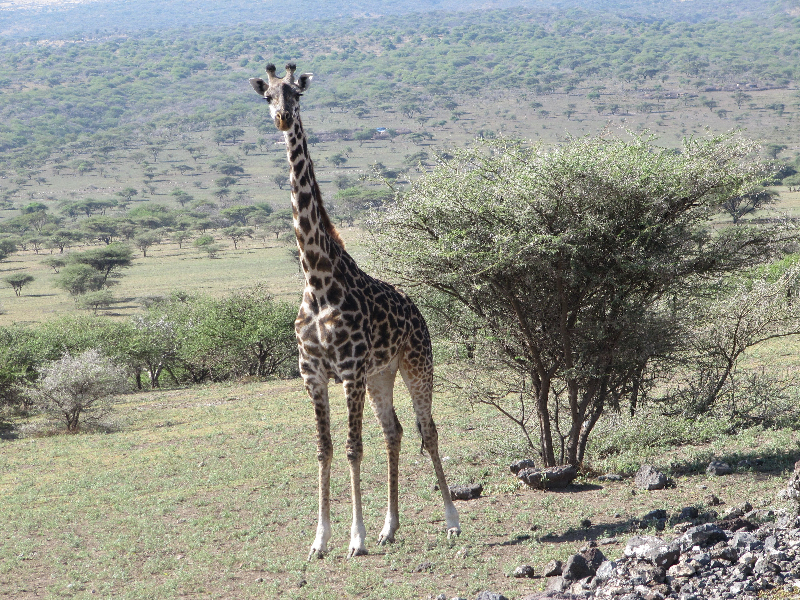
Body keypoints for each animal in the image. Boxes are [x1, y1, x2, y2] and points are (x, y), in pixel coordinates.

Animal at [249, 63, 460, 559]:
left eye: (296, 93)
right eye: (267, 94)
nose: (282, 118)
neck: (317, 280)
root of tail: (418, 311)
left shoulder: (348, 372)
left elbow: (352, 448)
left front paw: (356, 538)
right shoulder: (313, 374)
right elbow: (324, 449)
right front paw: (321, 539)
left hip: (416, 364)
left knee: (428, 430)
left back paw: (450, 520)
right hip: (381, 374)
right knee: (395, 431)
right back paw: (391, 527)